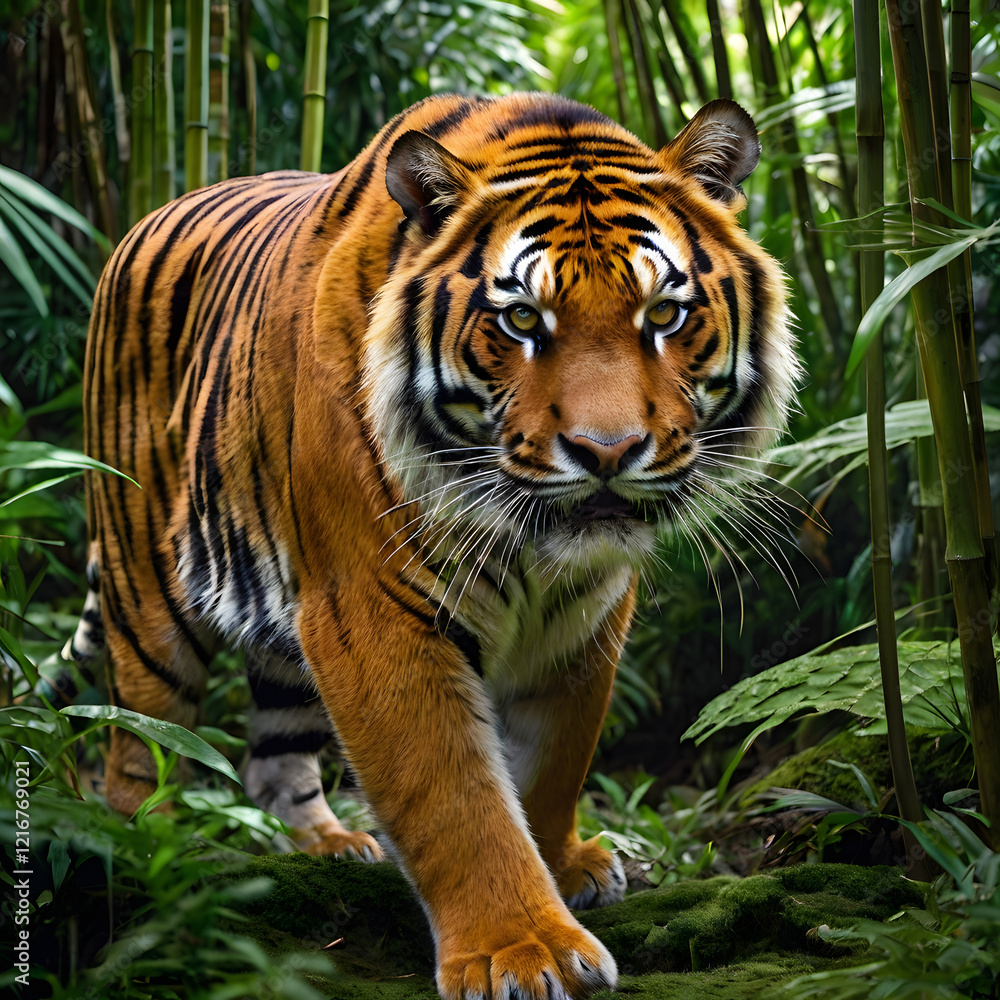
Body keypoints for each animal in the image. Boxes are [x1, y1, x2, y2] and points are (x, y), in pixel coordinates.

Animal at [67, 92, 796, 999]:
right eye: (521, 319)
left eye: (663, 314)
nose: (607, 451)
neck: (533, 546)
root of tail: (144, 220)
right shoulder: (373, 610)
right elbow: (453, 793)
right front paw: (524, 949)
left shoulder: (584, 616)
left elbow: (553, 763)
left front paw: (566, 867)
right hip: (147, 587)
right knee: (139, 743)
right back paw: (154, 856)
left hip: (286, 618)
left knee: (274, 754)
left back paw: (329, 846)